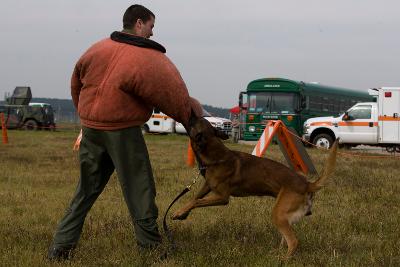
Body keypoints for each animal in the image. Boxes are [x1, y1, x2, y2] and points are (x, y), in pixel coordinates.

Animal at [172, 116, 338, 258]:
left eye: (195, 121)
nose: (190, 114)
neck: (216, 156)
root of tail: (307, 184)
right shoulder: (208, 186)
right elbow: (195, 198)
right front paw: (182, 213)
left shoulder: (222, 197)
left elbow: (197, 200)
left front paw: (178, 212)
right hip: (284, 215)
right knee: (286, 238)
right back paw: (278, 252)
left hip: (278, 214)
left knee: (293, 241)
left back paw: (283, 259)